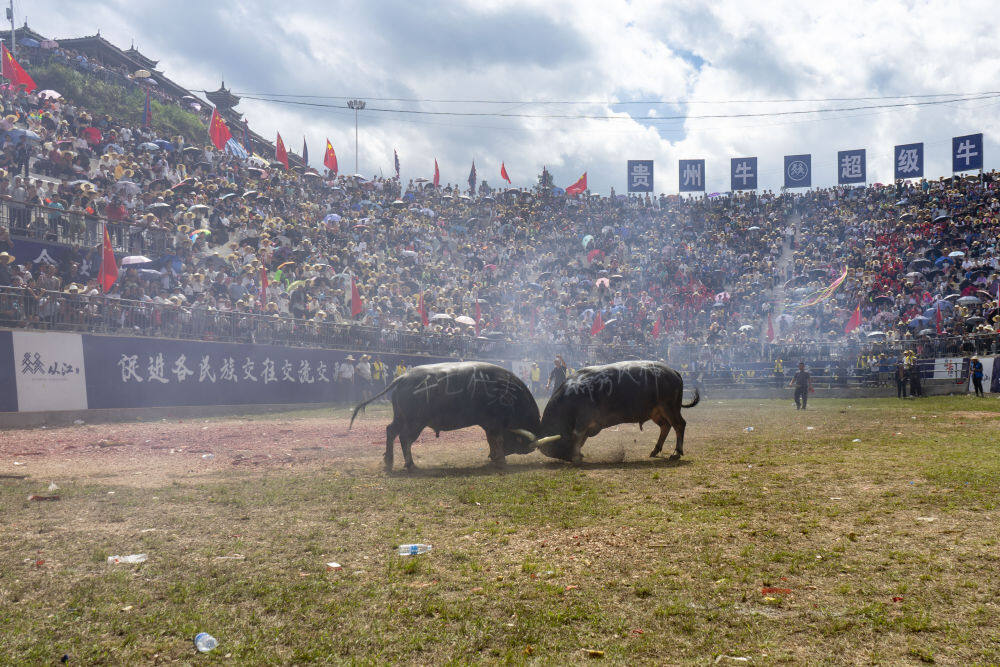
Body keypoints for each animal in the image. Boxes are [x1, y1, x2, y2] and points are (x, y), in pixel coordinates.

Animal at [350, 361, 560, 471]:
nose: (523, 451)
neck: (508, 393)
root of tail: (403, 378)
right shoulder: (495, 423)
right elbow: (497, 439)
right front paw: (500, 459)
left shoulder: (488, 425)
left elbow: (491, 440)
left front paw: (494, 456)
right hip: (415, 422)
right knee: (404, 438)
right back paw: (410, 464)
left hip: (401, 418)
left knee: (391, 431)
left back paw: (389, 461)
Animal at [538, 360, 699, 463]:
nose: (562, 456)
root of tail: (674, 372)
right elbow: (581, 438)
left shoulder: (582, 420)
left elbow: (577, 436)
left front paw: (576, 456)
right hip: (656, 412)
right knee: (665, 426)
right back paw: (655, 450)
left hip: (669, 408)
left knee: (679, 425)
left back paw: (676, 453)